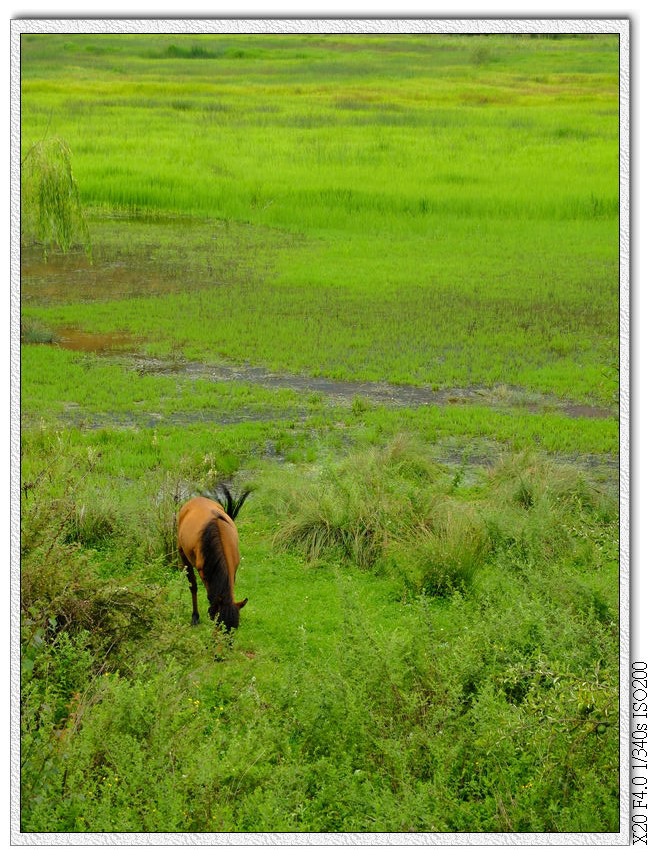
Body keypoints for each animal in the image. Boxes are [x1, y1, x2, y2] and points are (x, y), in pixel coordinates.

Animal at [176, 482, 249, 632]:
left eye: (234, 629)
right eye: (218, 625)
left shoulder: (233, 570)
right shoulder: (205, 572)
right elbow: (209, 595)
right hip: (182, 553)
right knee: (192, 585)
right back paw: (195, 616)